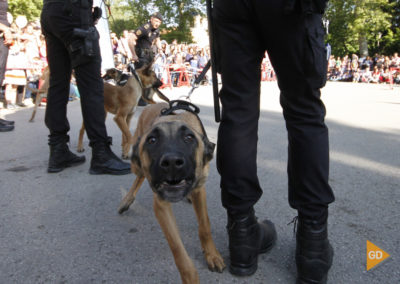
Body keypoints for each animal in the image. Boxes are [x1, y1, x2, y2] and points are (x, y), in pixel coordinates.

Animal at [118, 102, 225, 284]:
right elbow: (177, 247)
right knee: (139, 176)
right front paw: (190, 277)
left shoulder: (199, 189)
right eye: (152, 140)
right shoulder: (161, 205)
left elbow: (205, 226)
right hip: (136, 165)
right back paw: (127, 200)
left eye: (189, 138)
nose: (172, 163)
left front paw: (212, 255)